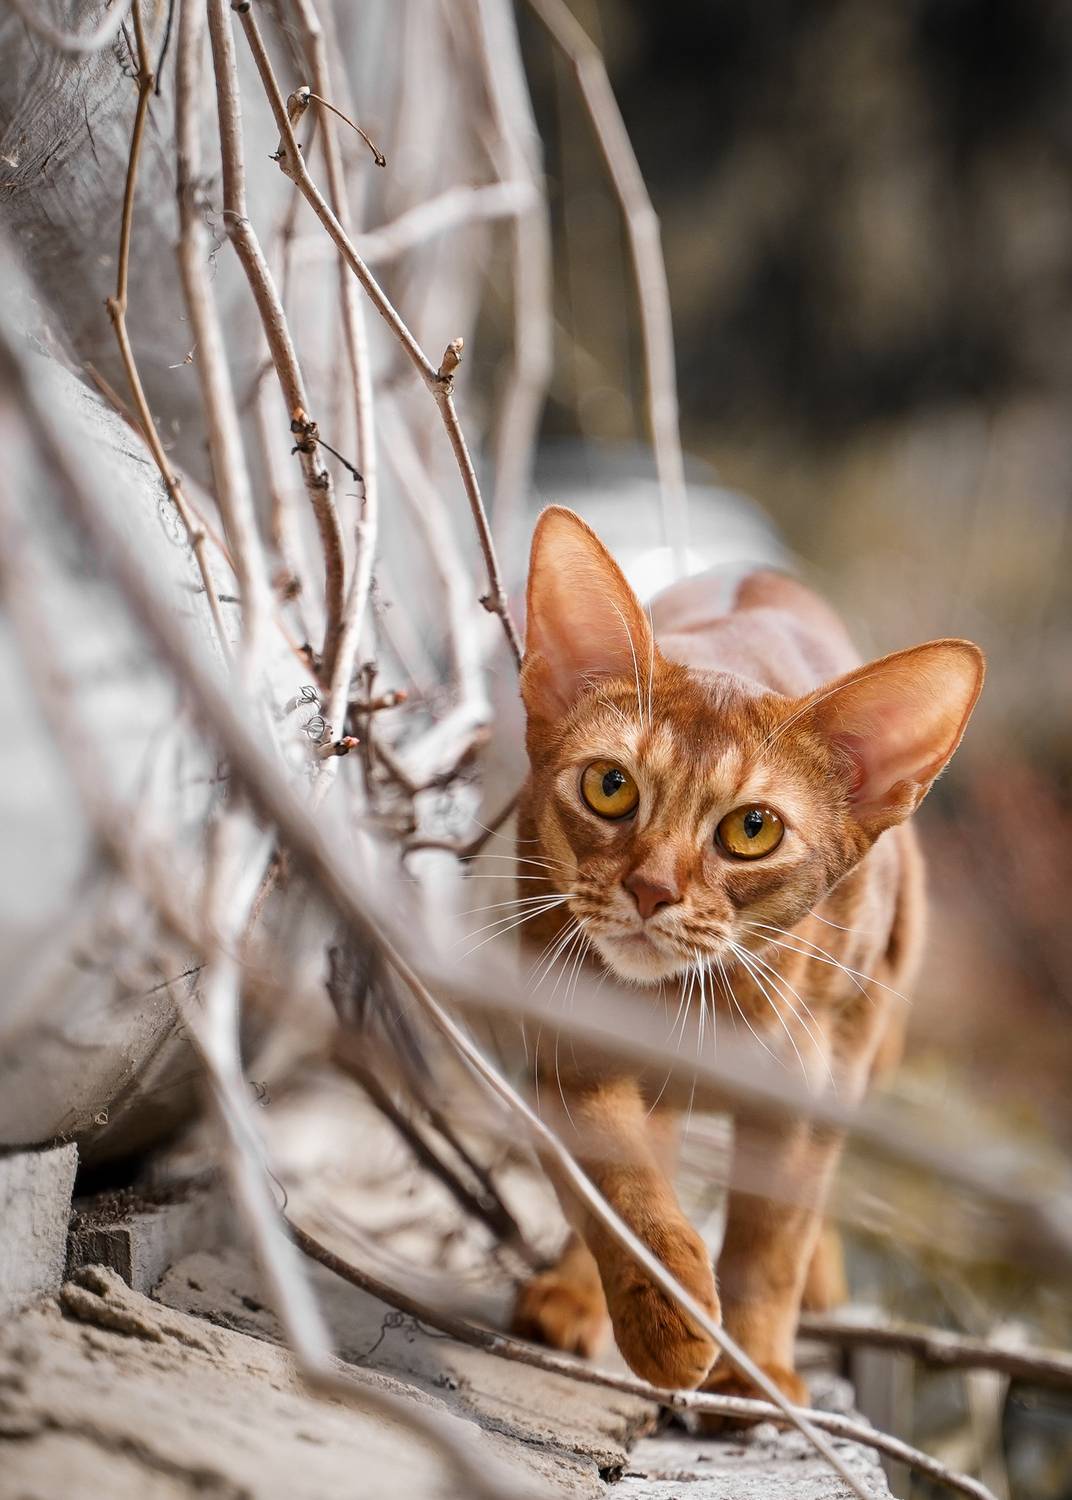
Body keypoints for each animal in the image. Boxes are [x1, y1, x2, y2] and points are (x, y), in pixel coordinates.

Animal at [509, 504, 983, 1411]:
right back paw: (580, 1297)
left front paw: (756, 1371)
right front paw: (664, 1317)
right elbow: (617, 1182)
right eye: (611, 787)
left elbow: (773, 1239)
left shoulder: (813, 1086)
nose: (651, 889)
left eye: (752, 830)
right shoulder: (567, 1037)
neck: (695, 1001)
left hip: (871, 1043)